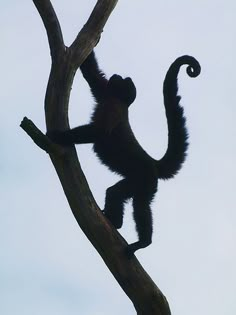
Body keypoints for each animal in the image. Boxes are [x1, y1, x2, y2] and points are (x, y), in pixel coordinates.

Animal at [48, 50, 200, 256]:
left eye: (122, 80)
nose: (118, 75)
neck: (119, 101)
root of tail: (153, 162)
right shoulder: (105, 94)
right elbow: (92, 72)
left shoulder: (113, 107)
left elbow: (100, 132)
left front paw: (57, 136)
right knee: (117, 194)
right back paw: (116, 222)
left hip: (144, 180)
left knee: (136, 202)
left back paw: (141, 240)